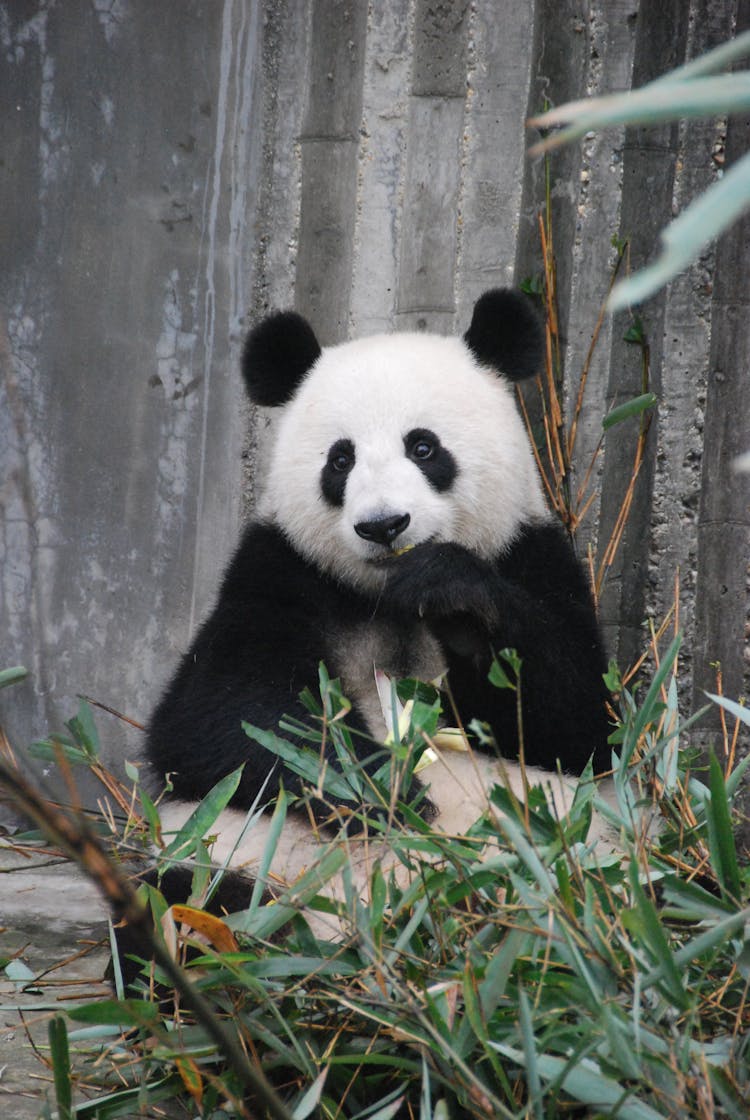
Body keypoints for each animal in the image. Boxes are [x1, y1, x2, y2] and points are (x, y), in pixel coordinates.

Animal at [142, 286, 617, 936]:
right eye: (340, 460)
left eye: (423, 446)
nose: (384, 525)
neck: (387, 595)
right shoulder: (278, 574)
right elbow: (217, 720)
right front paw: (386, 787)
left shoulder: (530, 556)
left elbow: (578, 722)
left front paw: (454, 598)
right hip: (225, 855)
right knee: (182, 901)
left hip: (569, 865)